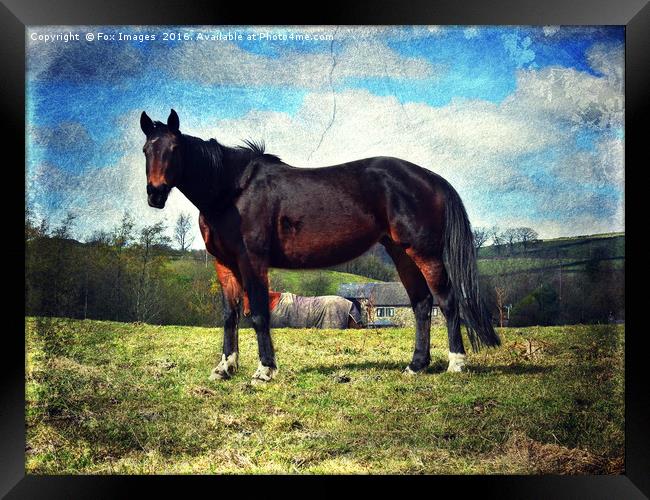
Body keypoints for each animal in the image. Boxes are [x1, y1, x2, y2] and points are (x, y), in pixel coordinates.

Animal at [139, 108, 498, 382]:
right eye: (146, 150)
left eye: (174, 149)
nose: (155, 194)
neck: (233, 191)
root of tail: (431, 178)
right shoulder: (225, 263)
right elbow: (230, 314)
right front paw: (224, 367)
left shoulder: (252, 260)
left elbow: (258, 313)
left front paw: (265, 370)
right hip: (401, 253)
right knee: (422, 304)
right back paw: (416, 366)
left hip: (425, 253)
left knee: (447, 302)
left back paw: (456, 363)